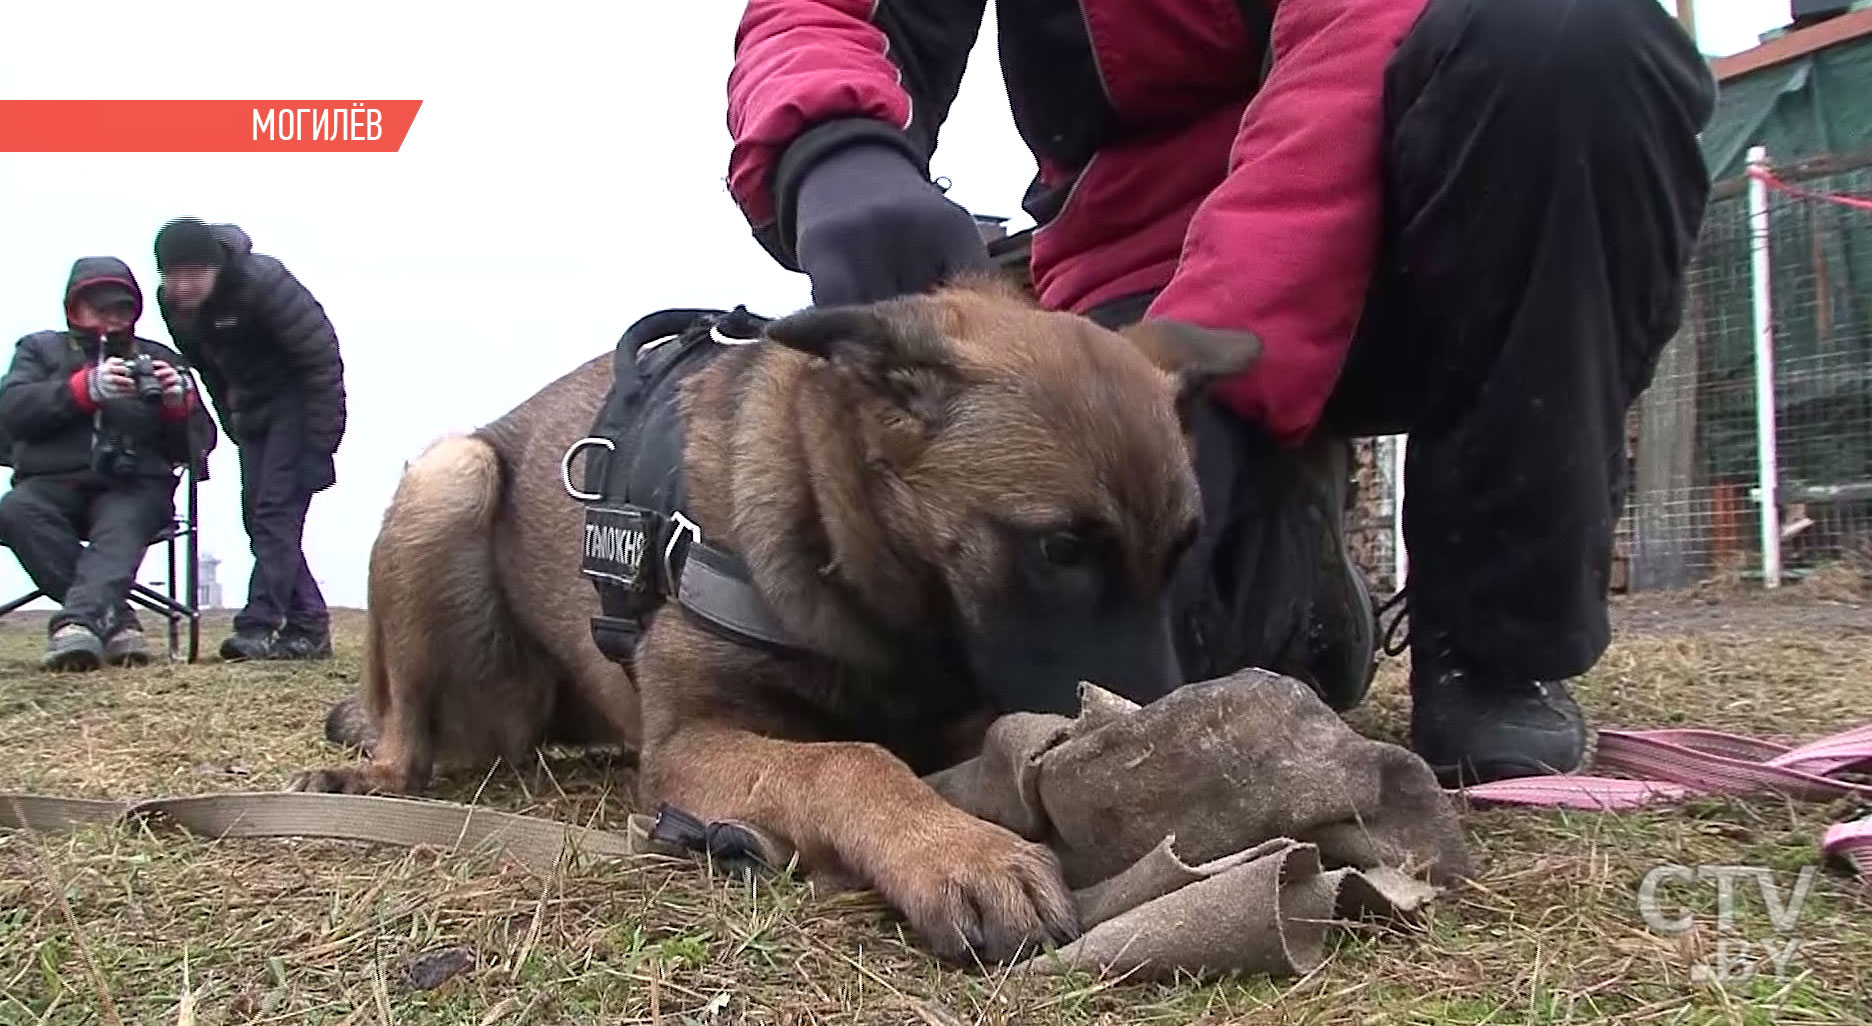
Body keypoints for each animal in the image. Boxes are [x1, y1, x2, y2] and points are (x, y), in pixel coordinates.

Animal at [295, 277, 1257, 966]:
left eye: (1184, 549)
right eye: (1059, 548)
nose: (1157, 723)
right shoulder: (687, 745)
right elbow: (848, 760)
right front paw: (959, 852)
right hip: (450, 478)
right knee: (409, 737)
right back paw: (374, 773)